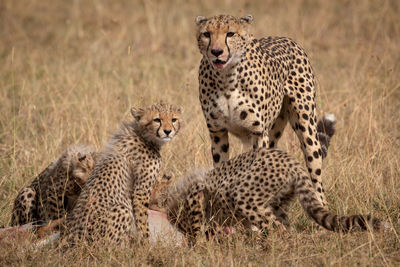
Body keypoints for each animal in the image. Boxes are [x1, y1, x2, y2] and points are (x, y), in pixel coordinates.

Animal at [60, 103, 182, 247]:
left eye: (173, 119)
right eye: (157, 119)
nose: (168, 131)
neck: (143, 135)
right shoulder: (140, 192)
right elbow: (143, 222)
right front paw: (146, 246)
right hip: (120, 209)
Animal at [195, 14, 326, 207]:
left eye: (230, 33)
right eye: (206, 34)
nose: (216, 51)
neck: (226, 78)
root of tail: (285, 38)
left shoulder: (257, 133)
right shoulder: (217, 132)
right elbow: (220, 168)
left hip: (307, 128)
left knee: (316, 175)